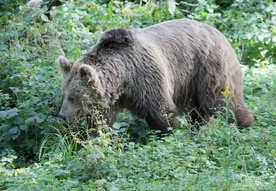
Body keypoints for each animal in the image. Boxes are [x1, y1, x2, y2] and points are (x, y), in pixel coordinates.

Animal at [57, 18, 253, 134]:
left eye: (73, 97)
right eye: (64, 94)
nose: (61, 116)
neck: (123, 78)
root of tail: (218, 32)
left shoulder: (146, 77)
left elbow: (160, 112)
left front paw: (166, 134)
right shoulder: (111, 97)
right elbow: (101, 121)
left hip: (208, 67)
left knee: (222, 101)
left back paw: (245, 124)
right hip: (190, 83)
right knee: (199, 112)